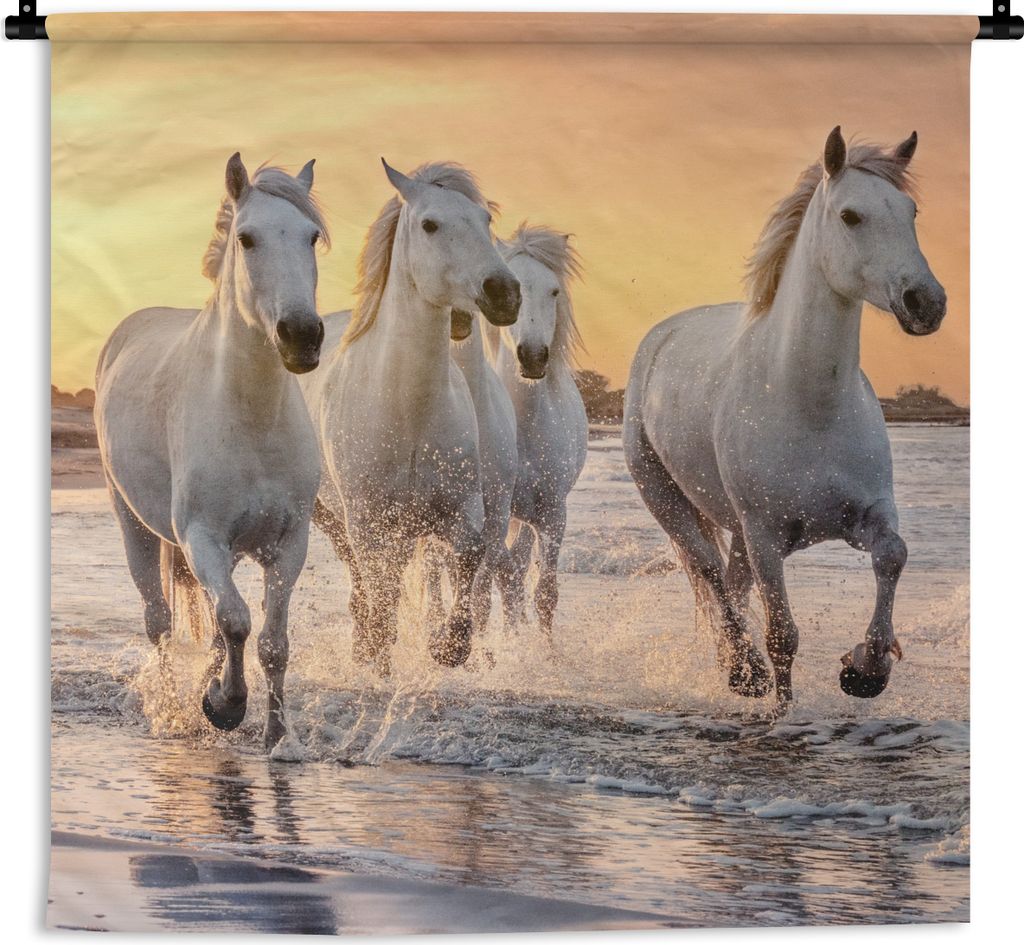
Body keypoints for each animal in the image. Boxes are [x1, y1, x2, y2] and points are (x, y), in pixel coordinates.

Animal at [95, 154, 328, 750]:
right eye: (247, 238)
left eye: (311, 237)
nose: (302, 335)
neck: (251, 419)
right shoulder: (201, 537)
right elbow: (238, 621)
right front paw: (225, 706)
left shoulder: (288, 543)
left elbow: (270, 641)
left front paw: (277, 736)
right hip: (134, 525)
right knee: (159, 621)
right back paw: (176, 708)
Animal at [301, 161, 520, 676]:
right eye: (430, 225)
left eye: (485, 220)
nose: (504, 292)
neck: (409, 411)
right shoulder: (368, 523)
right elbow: (381, 597)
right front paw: (379, 661)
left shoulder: (462, 511)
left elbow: (469, 560)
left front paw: (448, 647)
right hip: (333, 518)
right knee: (364, 586)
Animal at [485, 224, 589, 637]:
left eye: (554, 291)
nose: (532, 357)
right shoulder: (490, 515)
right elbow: (506, 579)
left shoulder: (553, 513)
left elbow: (544, 593)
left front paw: (542, 649)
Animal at [623, 127, 946, 710]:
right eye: (850, 216)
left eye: (910, 210)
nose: (925, 302)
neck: (809, 405)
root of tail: (660, 336)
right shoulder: (767, 536)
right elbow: (782, 636)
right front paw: (782, 707)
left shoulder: (867, 514)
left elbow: (893, 555)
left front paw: (866, 669)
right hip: (667, 499)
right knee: (710, 571)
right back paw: (743, 671)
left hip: (737, 530)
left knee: (731, 582)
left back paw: (734, 667)